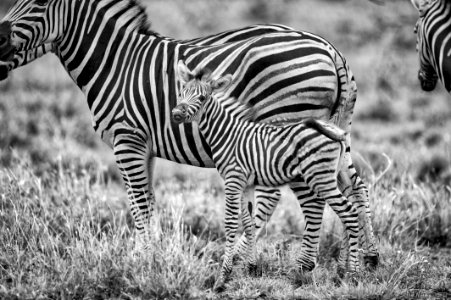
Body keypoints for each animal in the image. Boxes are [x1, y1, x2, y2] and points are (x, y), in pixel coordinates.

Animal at [0, 0, 380, 268]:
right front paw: (149, 254)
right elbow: (147, 200)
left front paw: (143, 259)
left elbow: (139, 203)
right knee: (355, 187)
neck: (115, 63)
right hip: (334, 132)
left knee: (304, 197)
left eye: (38, 2)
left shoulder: (127, 139)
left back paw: (287, 263)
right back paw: (365, 259)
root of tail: (331, 50)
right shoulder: (144, 147)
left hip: (289, 127)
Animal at [171, 62, 362, 292]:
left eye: (201, 98)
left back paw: (354, 274)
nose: (176, 114)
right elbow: (249, 222)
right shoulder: (247, 184)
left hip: (321, 178)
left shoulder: (233, 180)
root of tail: (333, 130)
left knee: (349, 212)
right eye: (182, 92)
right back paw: (343, 272)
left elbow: (231, 224)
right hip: (331, 175)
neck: (227, 134)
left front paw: (222, 278)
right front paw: (252, 267)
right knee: (349, 208)